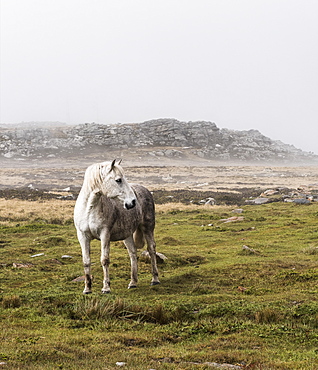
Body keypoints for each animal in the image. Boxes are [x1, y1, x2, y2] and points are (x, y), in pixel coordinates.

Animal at [73, 160, 160, 294]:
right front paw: (87, 289)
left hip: (148, 228)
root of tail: (144, 189)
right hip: (127, 234)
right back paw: (133, 282)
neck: (89, 209)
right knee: (132, 253)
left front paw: (106, 288)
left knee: (151, 249)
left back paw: (155, 279)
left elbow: (104, 260)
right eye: (118, 180)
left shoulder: (105, 234)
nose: (132, 202)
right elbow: (86, 261)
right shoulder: (82, 236)